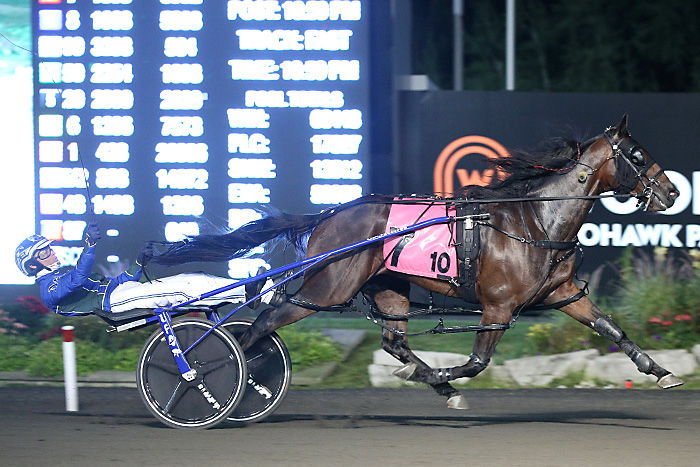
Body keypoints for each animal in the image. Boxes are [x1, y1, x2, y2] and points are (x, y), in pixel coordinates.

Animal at [153, 117, 684, 410]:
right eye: (637, 154)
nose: (672, 192)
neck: (535, 220)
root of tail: (329, 214)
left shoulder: (562, 294)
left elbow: (612, 328)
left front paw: (661, 371)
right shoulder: (498, 306)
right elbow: (476, 362)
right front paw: (445, 380)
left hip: (388, 285)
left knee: (393, 340)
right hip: (327, 288)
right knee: (261, 324)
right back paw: (218, 380)